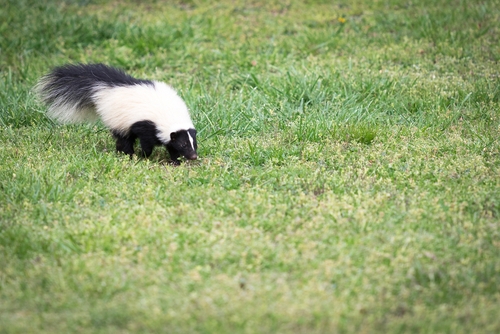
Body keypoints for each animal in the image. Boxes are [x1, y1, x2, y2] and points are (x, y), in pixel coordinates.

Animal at [35, 63, 197, 164]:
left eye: (194, 143)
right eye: (183, 144)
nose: (194, 156)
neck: (170, 115)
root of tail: (107, 87)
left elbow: (171, 147)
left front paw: (175, 161)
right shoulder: (147, 126)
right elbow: (147, 143)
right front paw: (143, 156)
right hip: (120, 120)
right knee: (123, 139)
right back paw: (127, 154)